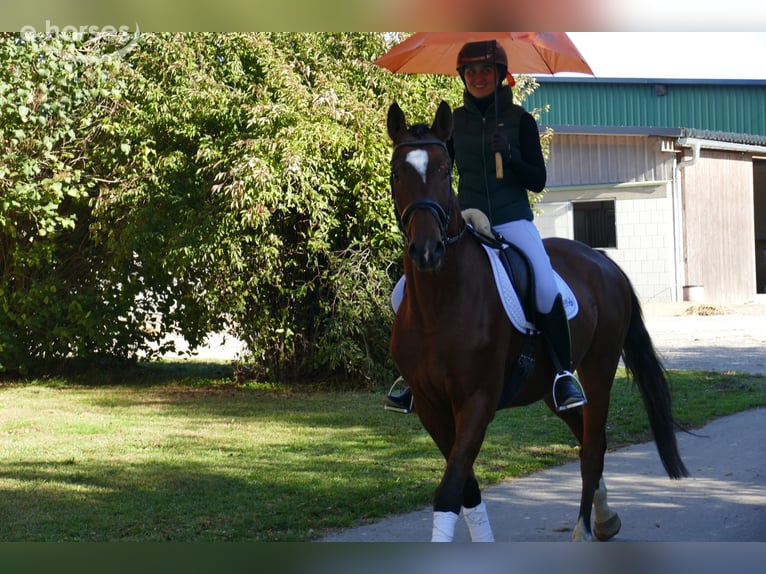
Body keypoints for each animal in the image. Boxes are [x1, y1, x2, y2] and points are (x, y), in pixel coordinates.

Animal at [386, 100, 688, 542]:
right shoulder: (429, 405)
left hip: (598, 368)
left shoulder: (477, 401)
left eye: (444, 170)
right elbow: (465, 486)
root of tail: (603, 261)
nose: (427, 251)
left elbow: (450, 489)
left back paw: (585, 529)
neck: (439, 303)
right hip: (548, 386)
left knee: (592, 445)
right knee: (585, 435)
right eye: (397, 172)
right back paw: (605, 517)